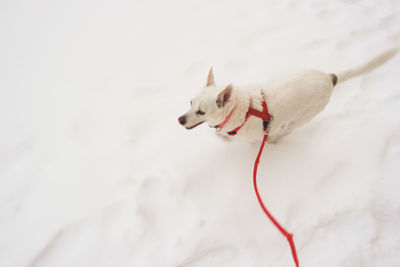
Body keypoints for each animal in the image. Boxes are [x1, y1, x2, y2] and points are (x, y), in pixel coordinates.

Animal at [180, 48, 398, 144]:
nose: (179, 120)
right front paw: (220, 134)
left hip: (302, 117)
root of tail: (329, 78)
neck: (240, 109)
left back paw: (276, 137)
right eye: (190, 102)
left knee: (286, 130)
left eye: (201, 112)